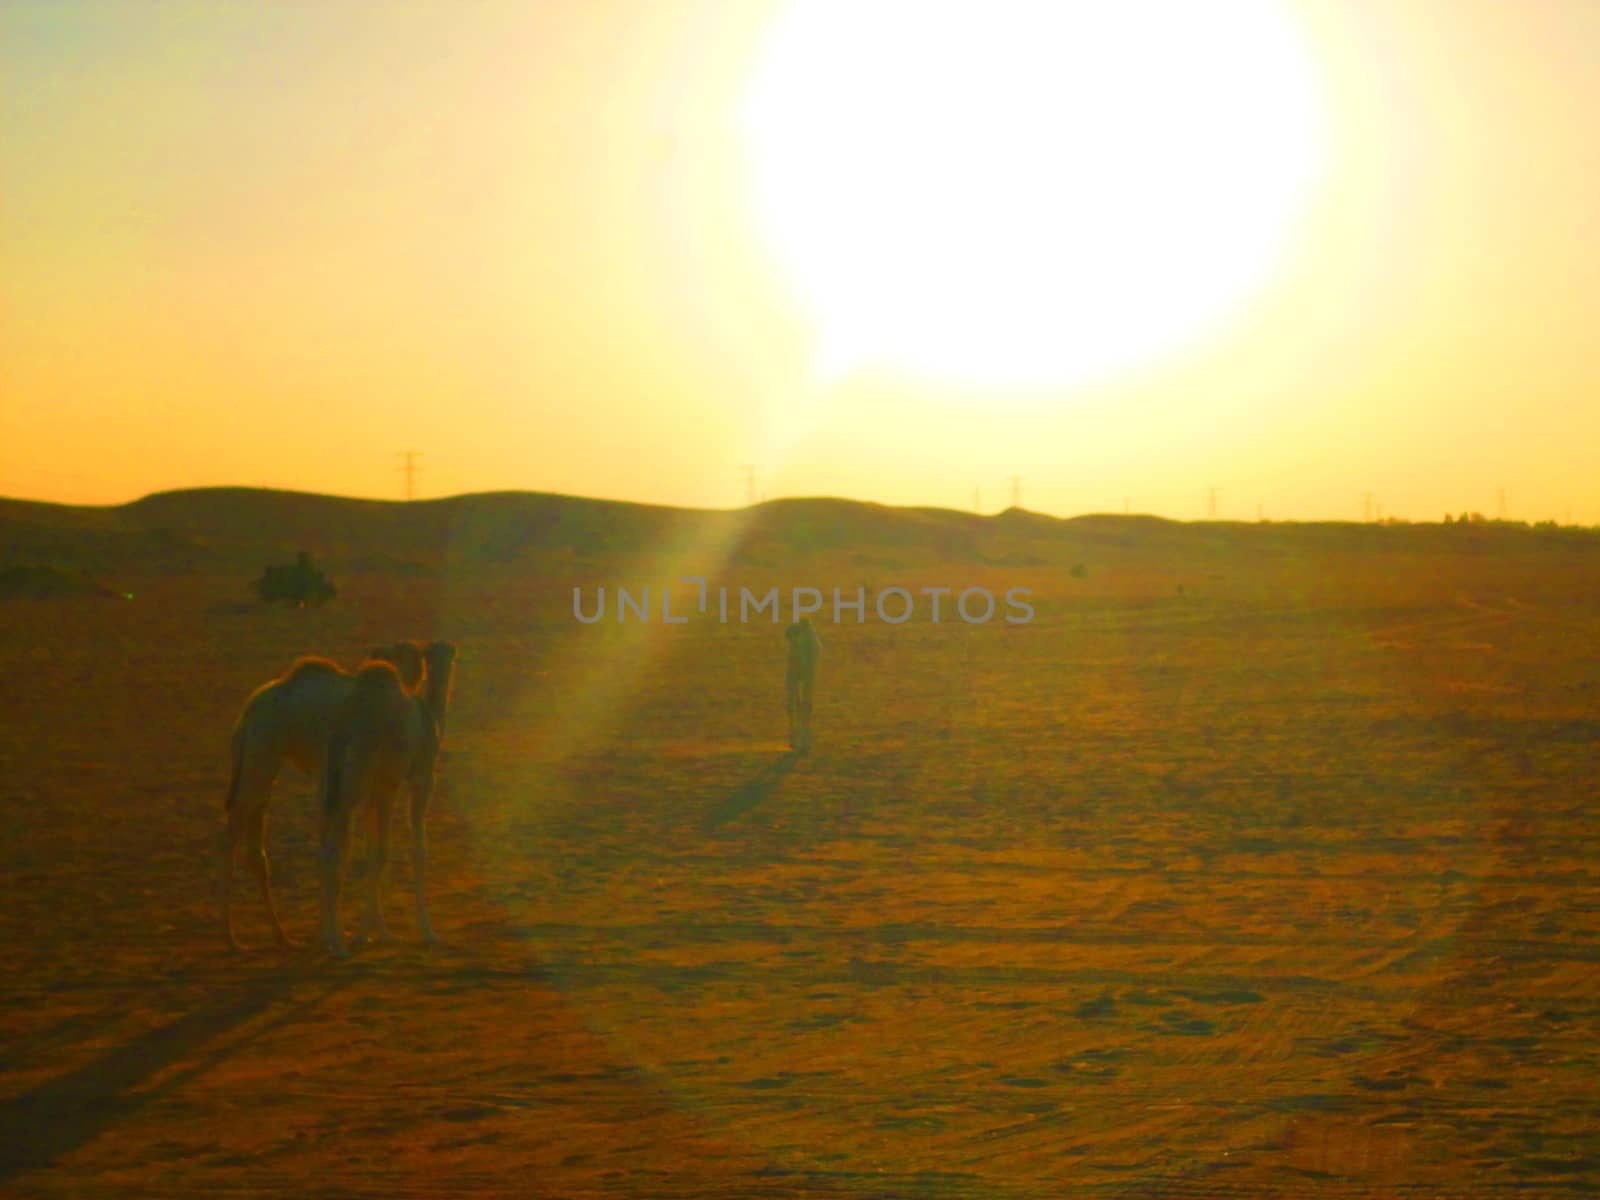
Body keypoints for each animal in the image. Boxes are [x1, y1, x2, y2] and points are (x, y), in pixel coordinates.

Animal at [216, 640, 448, 947]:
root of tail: (250, 708)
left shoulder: (357, 785)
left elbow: (363, 848)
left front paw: (366, 930)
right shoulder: (409, 779)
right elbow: (404, 850)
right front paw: (421, 931)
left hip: (260, 757)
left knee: (255, 840)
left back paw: (281, 934)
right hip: (268, 752)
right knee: (238, 832)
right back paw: (233, 935)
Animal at [320, 643, 457, 966]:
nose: (447, 658)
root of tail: (349, 722)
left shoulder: (380, 787)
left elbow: (375, 852)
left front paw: (375, 931)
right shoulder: (416, 778)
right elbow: (414, 850)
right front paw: (427, 931)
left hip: (333, 774)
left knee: (328, 845)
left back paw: (329, 937)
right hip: (356, 775)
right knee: (335, 852)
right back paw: (339, 945)